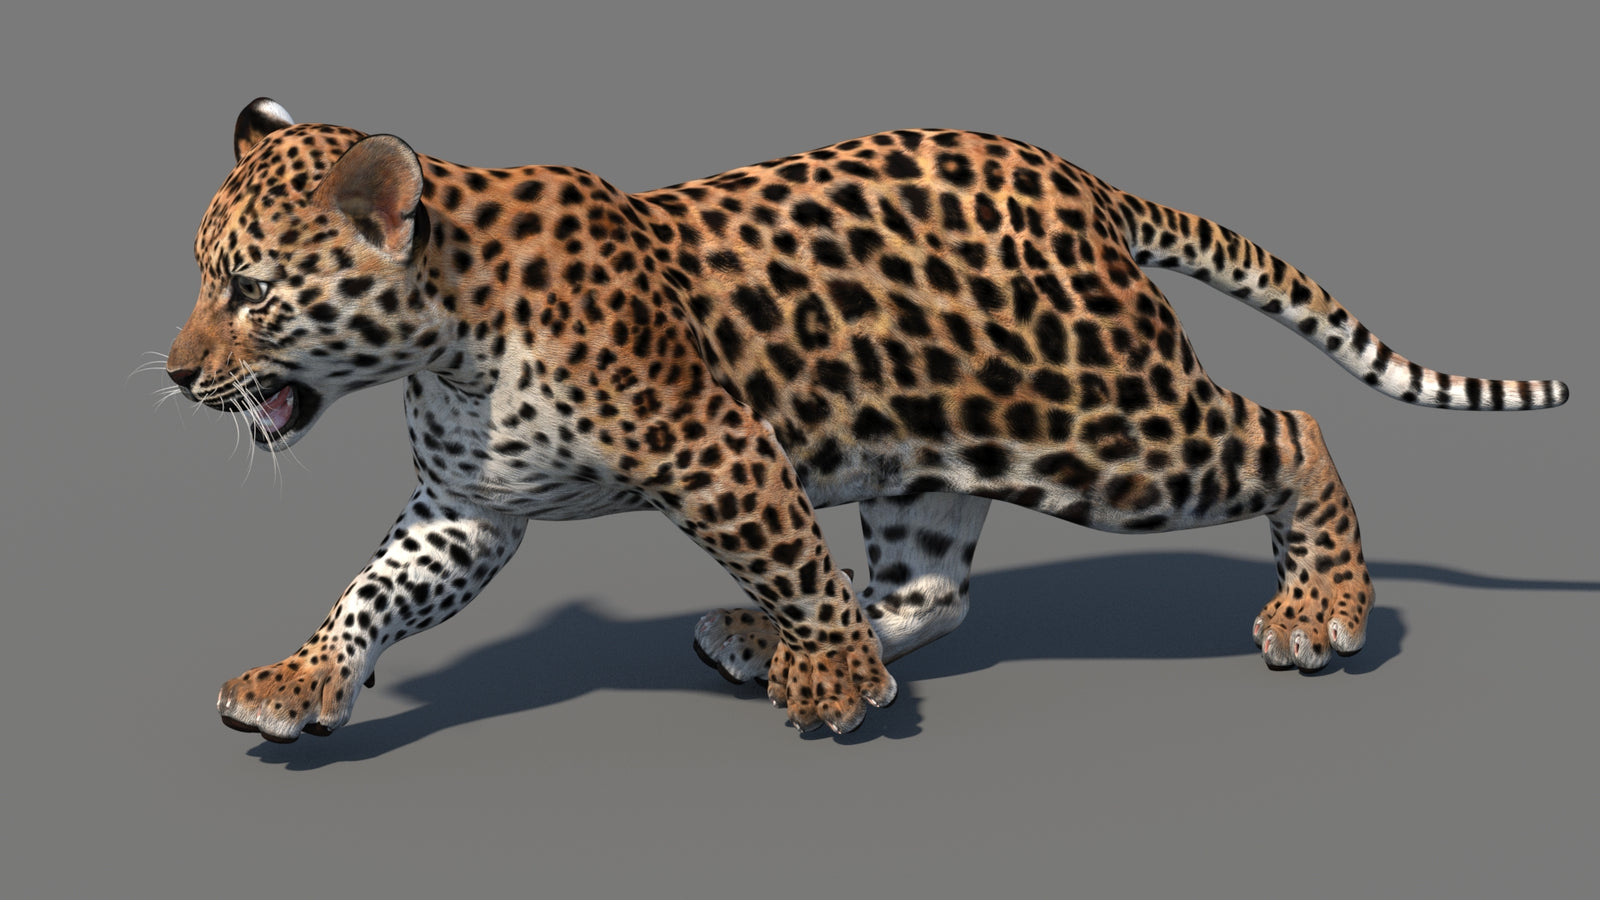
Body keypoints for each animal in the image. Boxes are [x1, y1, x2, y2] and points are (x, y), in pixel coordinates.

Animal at [167, 98, 1568, 742]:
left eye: (248, 291)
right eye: (204, 278)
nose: (178, 376)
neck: (445, 341)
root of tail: (1081, 180)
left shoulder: (717, 449)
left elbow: (788, 548)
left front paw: (836, 680)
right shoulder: (468, 509)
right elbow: (372, 589)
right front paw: (298, 679)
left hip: (1106, 431)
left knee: (1289, 430)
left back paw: (1319, 608)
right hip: (930, 456)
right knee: (932, 589)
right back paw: (757, 637)